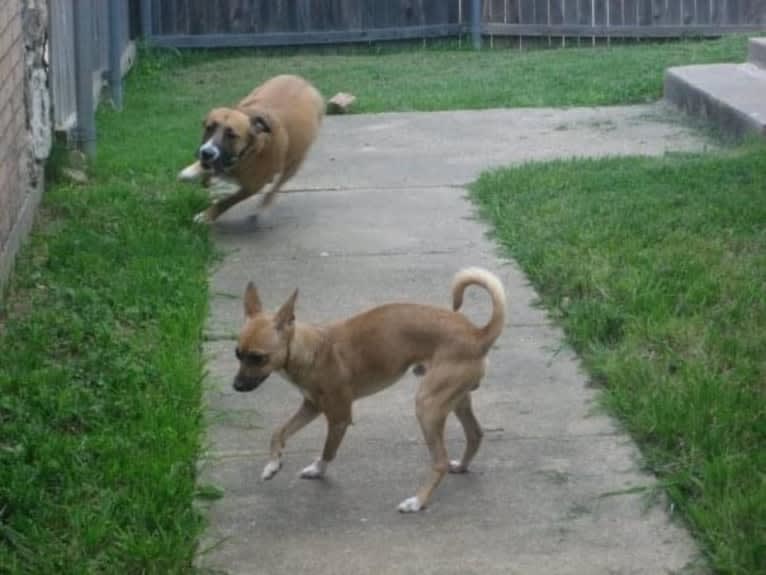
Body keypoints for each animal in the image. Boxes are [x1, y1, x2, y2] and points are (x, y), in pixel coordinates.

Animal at [178, 74, 324, 223]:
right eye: (209, 128)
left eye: (232, 135)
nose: (207, 153)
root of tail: (304, 81)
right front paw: (193, 171)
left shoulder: (252, 187)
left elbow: (226, 202)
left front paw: (207, 215)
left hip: (295, 162)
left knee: (277, 186)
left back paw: (264, 205)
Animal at [234, 266, 510, 512]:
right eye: (237, 354)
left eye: (258, 358)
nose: (235, 386)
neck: (312, 349)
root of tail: (477, 334)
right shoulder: (311, 406)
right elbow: (278, 432)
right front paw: (272, 465)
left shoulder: (339, 418)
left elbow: (328, 450)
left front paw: (318, 469)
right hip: (456, 399)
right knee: (475, 434)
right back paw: (461, 466)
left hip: (428, 406)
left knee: (440, 461)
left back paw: (417, 502)